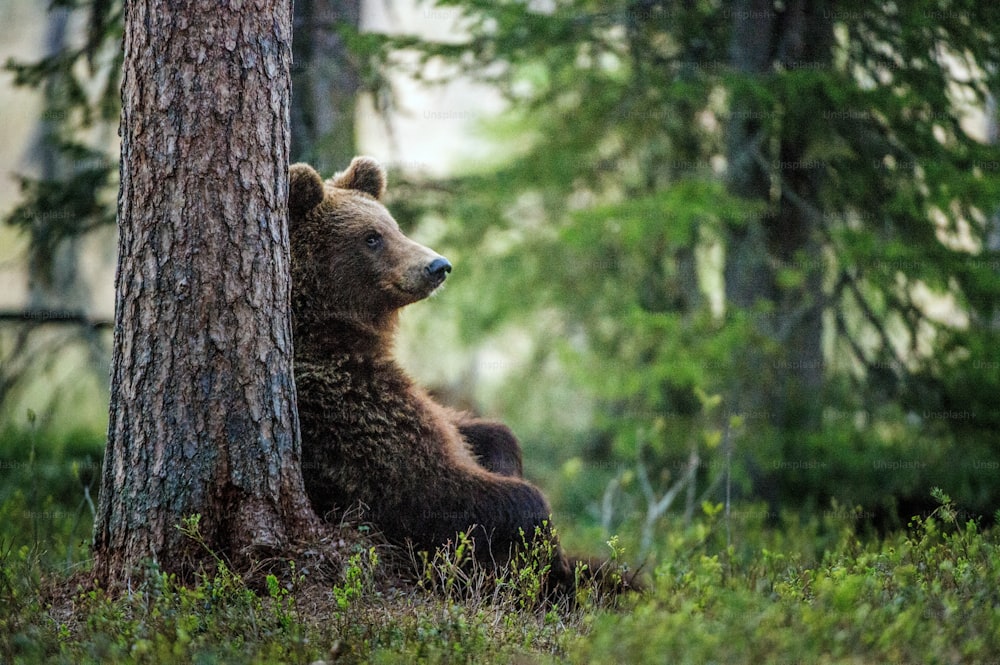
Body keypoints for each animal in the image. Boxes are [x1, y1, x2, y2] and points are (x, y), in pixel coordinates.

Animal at [288, 158, 572, 592]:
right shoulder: (351, 415)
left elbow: (478, 430)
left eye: (393, 226)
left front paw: (503, 453)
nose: (438, 265)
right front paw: (553, 568)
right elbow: (433, 488)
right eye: (371, 238)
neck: (332, 333)